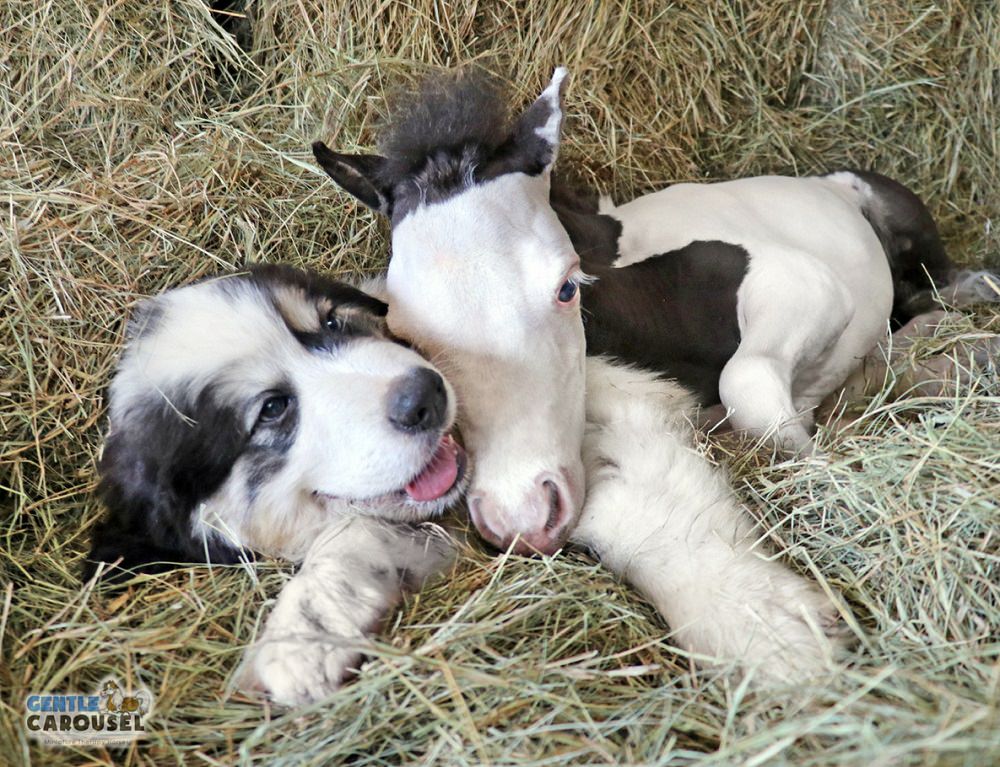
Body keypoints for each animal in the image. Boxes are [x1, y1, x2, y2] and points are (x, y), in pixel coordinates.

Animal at [86, 266, 468, 708]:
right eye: (272, 408)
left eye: (332, 323)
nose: (424, 395)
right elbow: (359, 527)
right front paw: (300, 643)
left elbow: (352, 531)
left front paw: (301, 633)